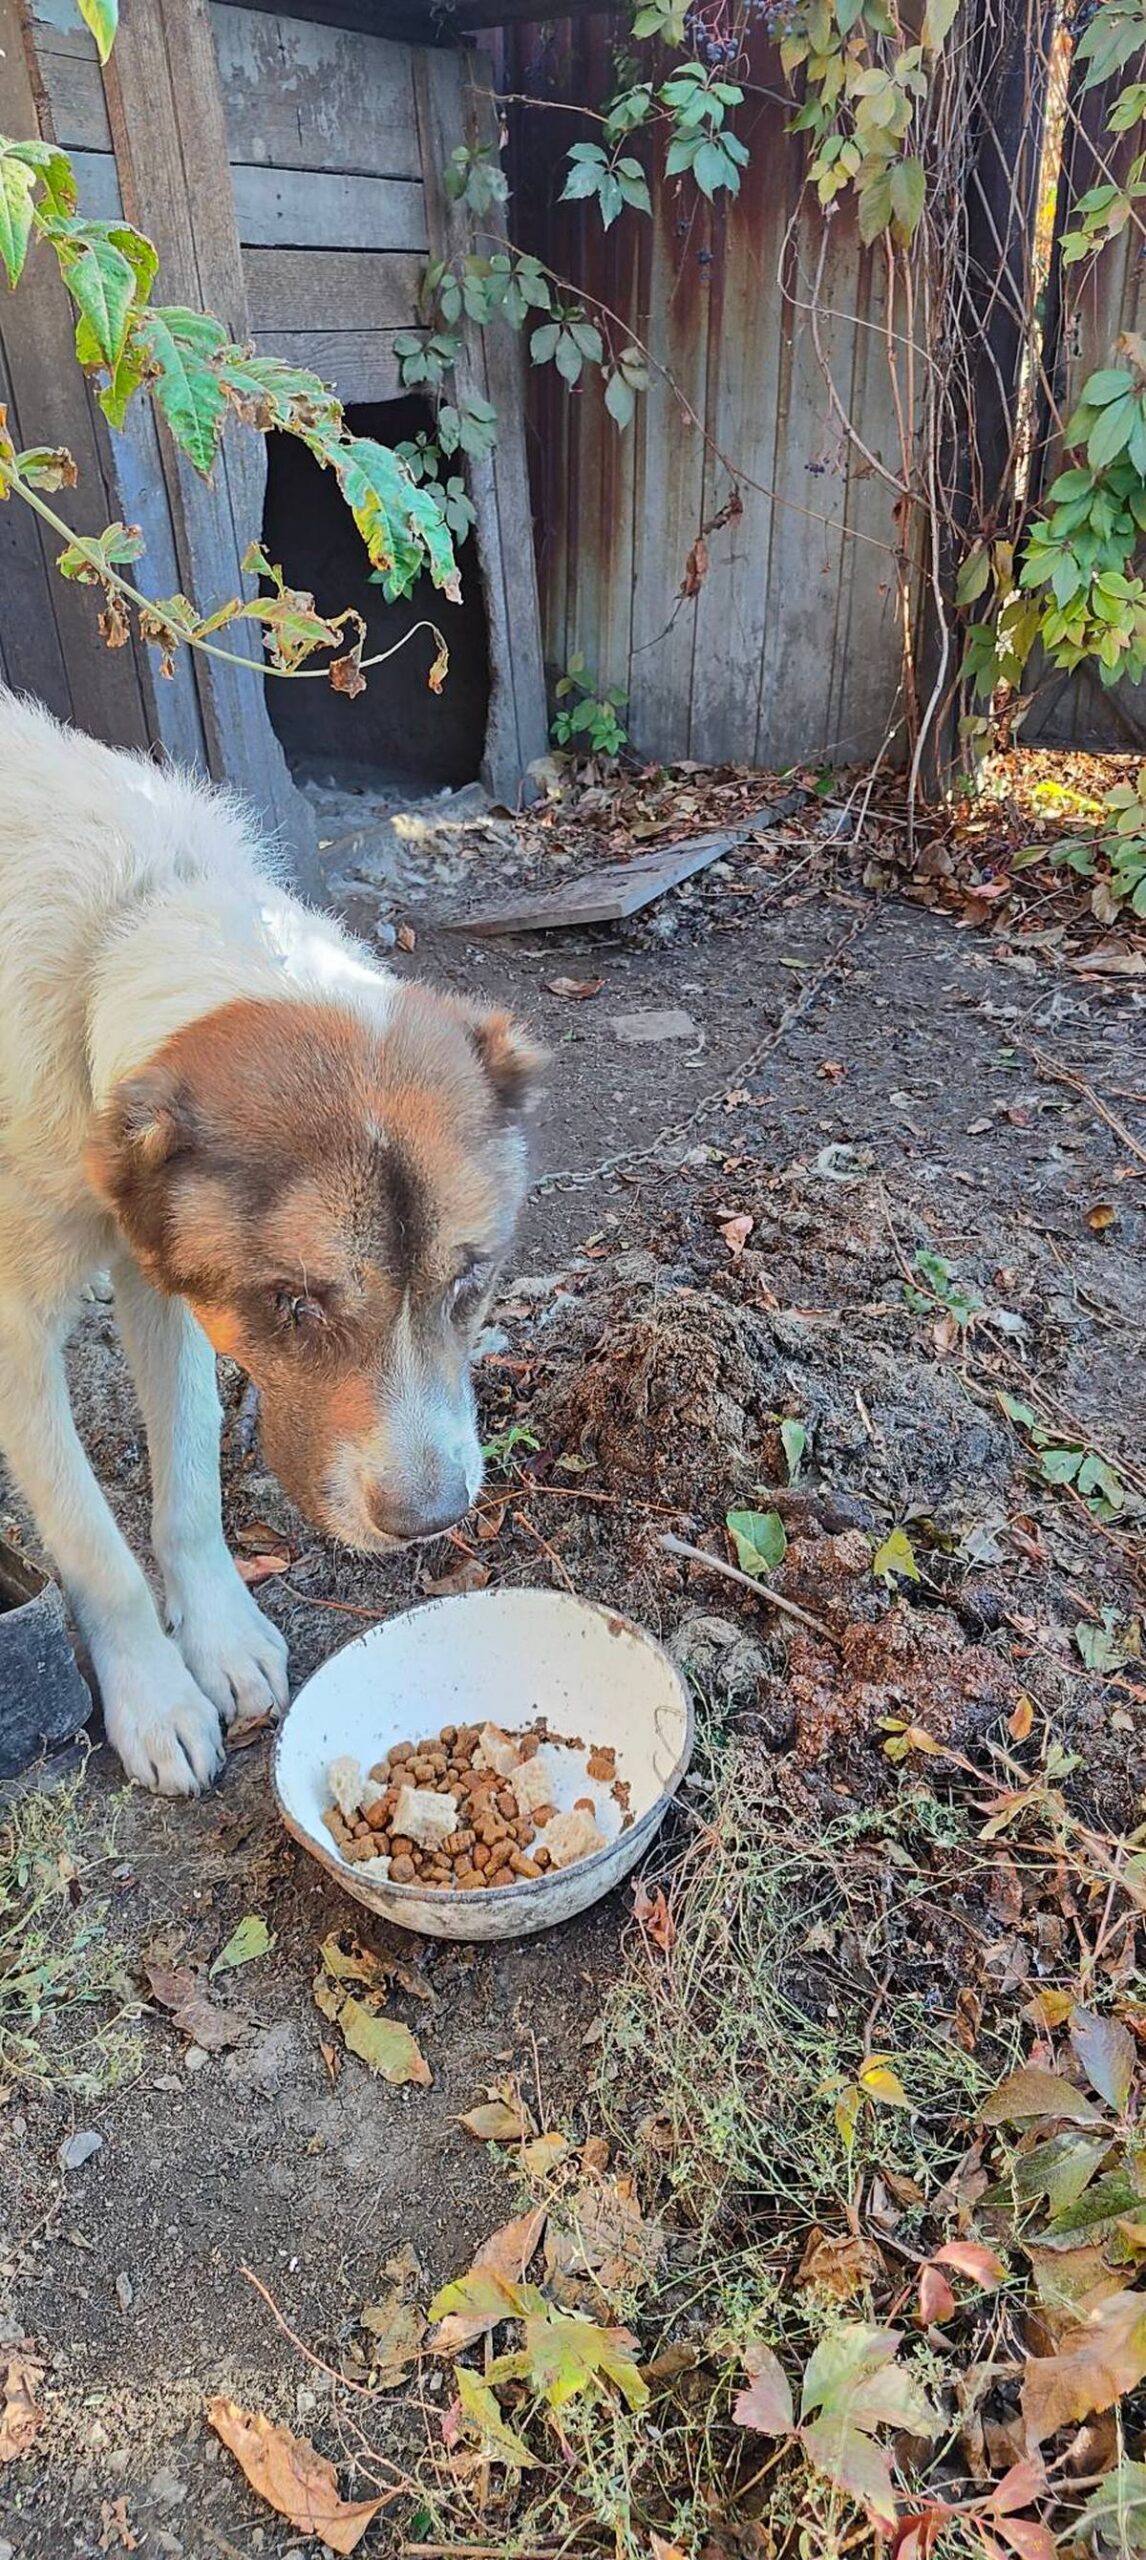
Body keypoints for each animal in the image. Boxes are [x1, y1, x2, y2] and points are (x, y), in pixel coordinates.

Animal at [0, 691, 544, 1792]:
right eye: (295, 1303)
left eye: (469, 1285)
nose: (431, 1519)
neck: (120, 930)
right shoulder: (13, 1326)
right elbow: (89, 1535)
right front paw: (155, 1696)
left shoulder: (161, 1276)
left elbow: (189, 1477)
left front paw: (219, 1637)